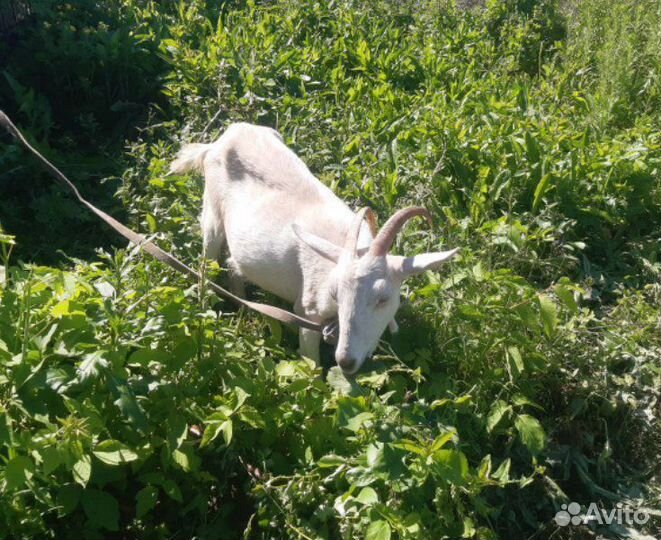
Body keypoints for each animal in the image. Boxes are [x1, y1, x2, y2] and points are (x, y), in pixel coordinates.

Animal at [170, 123, 458, 374]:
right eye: (335, 294)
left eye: (383, 298)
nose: (345, 361)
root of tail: (219, 141)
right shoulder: (307, 312)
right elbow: (312, 364)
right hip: (212, 214)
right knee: (207, 260)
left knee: (234, 266)